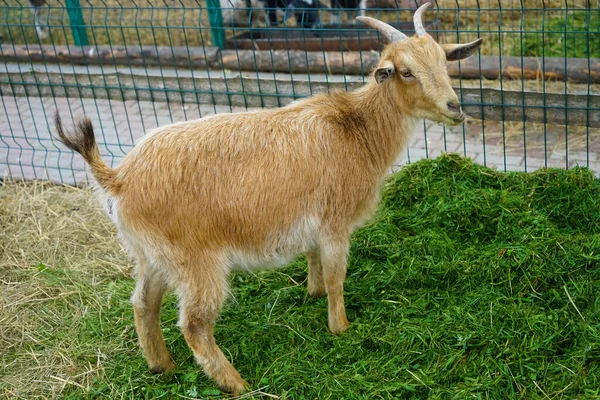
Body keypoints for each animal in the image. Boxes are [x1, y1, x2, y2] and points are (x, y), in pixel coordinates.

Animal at [54, 3, 480, 396]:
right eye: (406, 72)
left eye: (444, 61)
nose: (455, 107)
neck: (355, 128)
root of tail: (118, 179)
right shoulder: (335, 222)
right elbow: (336, 275)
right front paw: (340, 328)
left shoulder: (312, 222)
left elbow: (314, 261)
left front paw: (312, 293)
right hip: (195, 261)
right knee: (194, 323)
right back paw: (236, 383)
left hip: (152, 256)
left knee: (143, 303)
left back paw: (162, 365)